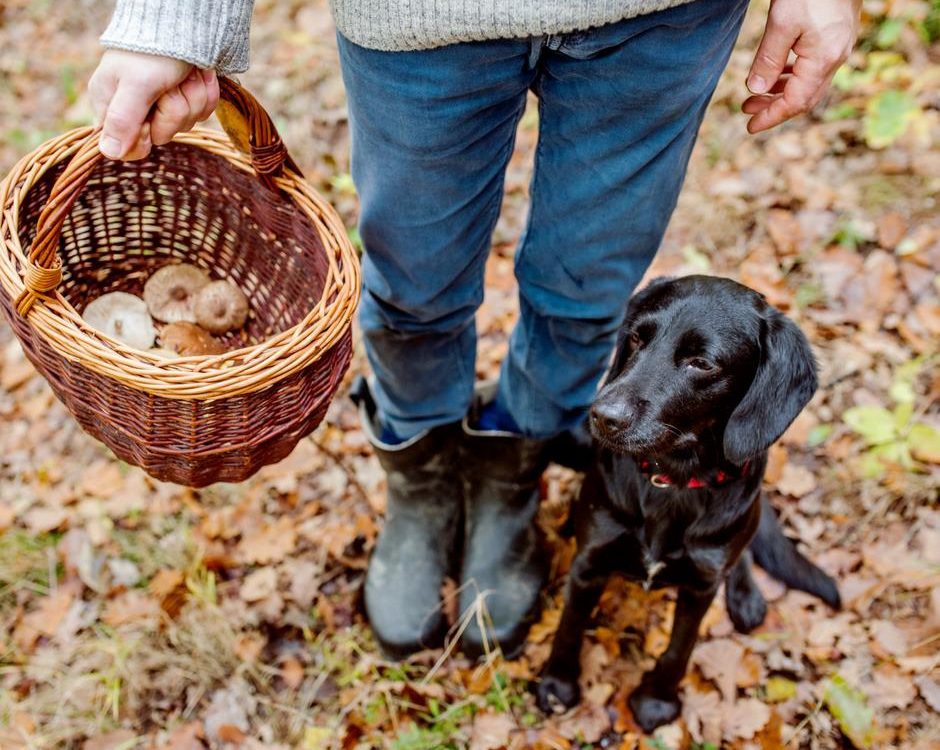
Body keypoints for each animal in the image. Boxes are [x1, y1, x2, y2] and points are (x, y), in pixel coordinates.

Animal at [532, 276, 840, 736]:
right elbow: (569, 626)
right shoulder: (589, 562)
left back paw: (746, 595)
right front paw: (557, 684)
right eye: (636, 338)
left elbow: (681, 647)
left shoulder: (700, 586)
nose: (602, 415)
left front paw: (656, 702)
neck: (672, 482)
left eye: (702, 363)